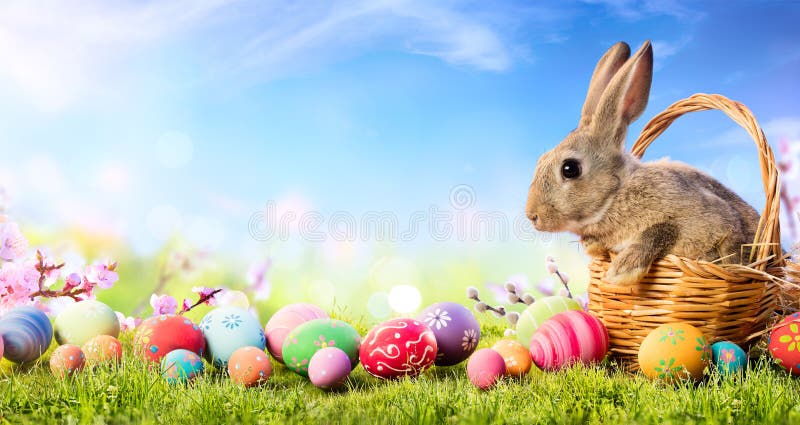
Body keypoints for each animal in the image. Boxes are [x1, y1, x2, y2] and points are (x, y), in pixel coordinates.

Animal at [524, 40, 764, 284]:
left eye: (569, 168)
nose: (532, 216)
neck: (616, 194)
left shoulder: (706, 220)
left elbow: (660, 230)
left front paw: (622, 270)